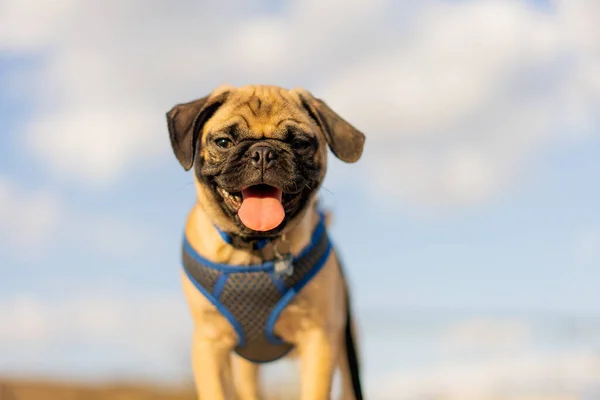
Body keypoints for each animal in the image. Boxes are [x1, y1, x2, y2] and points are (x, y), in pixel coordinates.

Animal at [166, 83, 368, 398]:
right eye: (223, 142)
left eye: (300, 143)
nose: (262, 152)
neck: (254, 251)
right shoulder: (209, 344)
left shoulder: (319, 340)